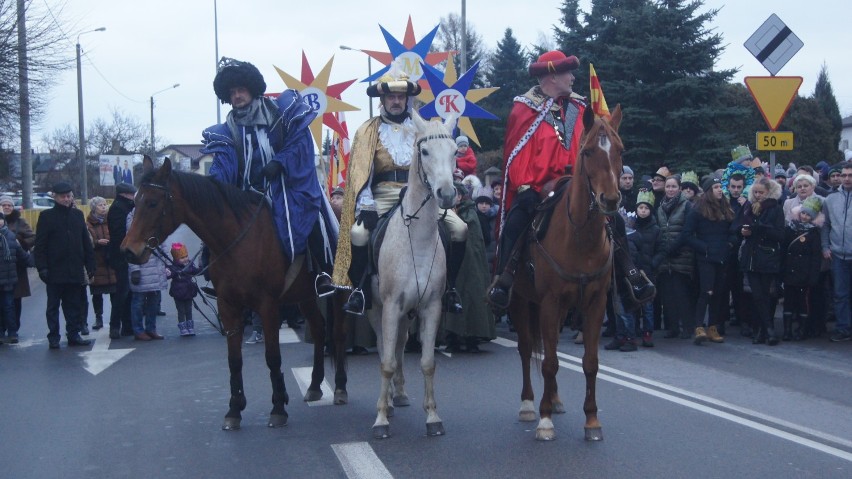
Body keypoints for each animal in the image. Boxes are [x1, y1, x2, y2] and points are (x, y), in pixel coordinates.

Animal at [119, 159, 346, 434]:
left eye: (152, 203)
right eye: (135, 201)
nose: (129, 251)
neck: (238, 241)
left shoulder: (268, 306)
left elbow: (273, 358)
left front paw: (278, 407)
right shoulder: (228, 306)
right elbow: (234, 360)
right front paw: (234, 409)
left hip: (338, 292)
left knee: (338, 334)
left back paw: (340, 388)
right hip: (305, 296)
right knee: (320, 329)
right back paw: (314, 386)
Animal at [368, 110, 460, 440]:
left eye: (455, 152)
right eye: (425, 152)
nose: (447, 194)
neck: (417, 241)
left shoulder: (430, 307)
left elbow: (428, 362)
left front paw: (432, 417)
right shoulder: (391, 306)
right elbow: (385, 362)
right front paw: (381, 419)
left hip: (407, 315)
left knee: (398, 346)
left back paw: (399, 395)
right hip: (376, 309)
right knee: (384, 348)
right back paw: (388, 403)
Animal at [510, 105, 624, 442]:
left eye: (621, 150)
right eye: (587, 152)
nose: (610, 200)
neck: (580, 238)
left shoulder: (595, 304)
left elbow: (590, 362)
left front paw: (592, 421)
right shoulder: (548, 302)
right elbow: (548, 362)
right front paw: (544, 421)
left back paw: (556, 399)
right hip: (521, 300)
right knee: (526, 349)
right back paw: (529, 404)